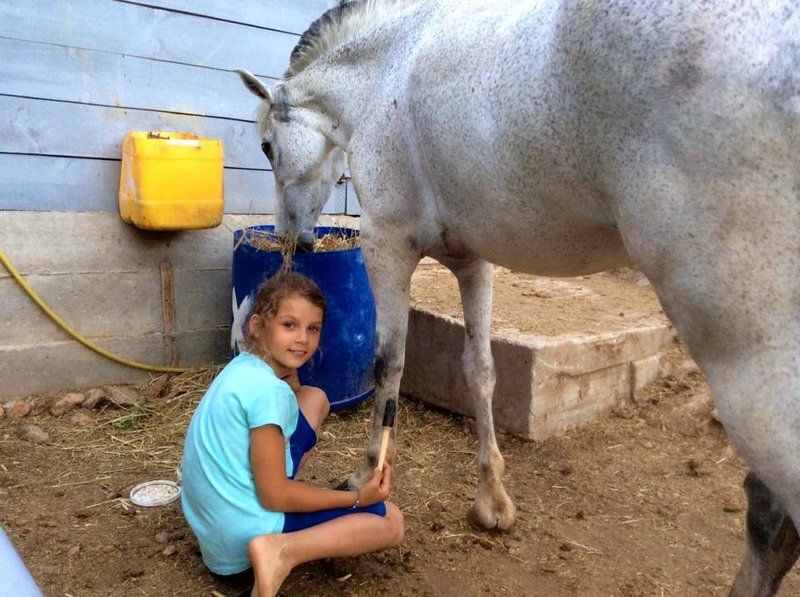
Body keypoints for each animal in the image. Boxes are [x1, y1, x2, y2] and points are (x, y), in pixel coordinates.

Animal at [236, 0, 800, 593]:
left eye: (268, 146)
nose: (293, 239)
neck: (386, 67)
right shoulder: (473, 262)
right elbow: (480, 370)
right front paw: (492, 499)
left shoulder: (385, 246)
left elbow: (388, 368)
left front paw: (366, 477)